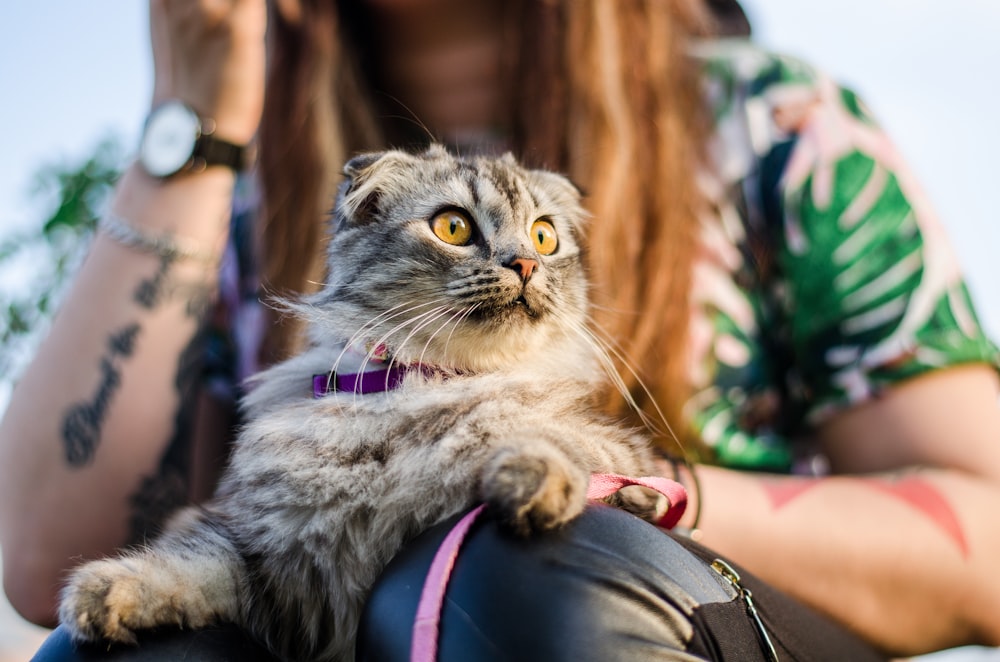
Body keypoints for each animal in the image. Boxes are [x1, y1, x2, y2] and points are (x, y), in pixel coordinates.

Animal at [58, 147, 668, 662]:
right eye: (454, 227)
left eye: (544, 237)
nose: (525, 265)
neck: (430, 386)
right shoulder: (273, 559)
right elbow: (193, 562)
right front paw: (111, 590)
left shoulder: (628, 456)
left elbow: (558, 439)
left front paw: (534, 474)